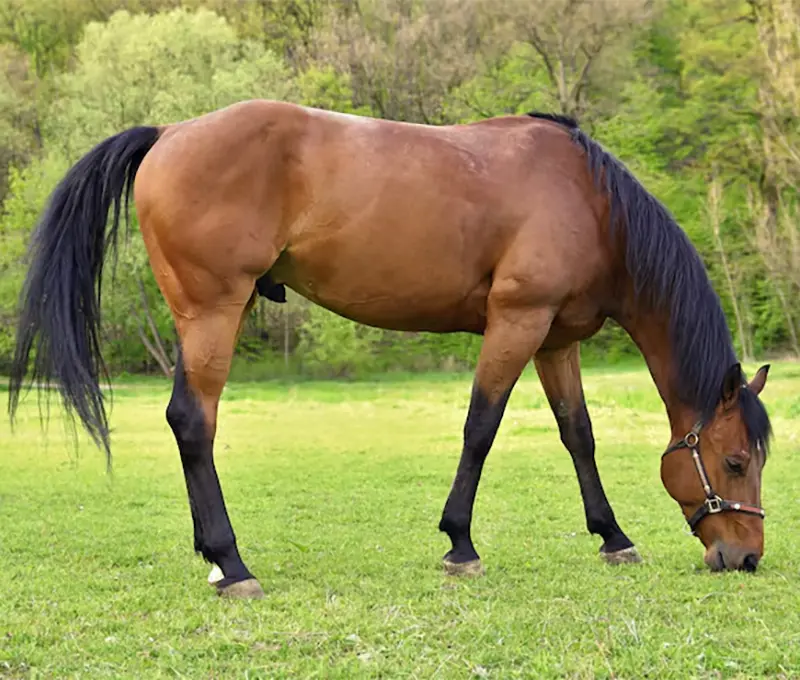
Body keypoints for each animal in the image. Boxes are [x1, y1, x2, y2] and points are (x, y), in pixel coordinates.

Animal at [8, 100, 772, 599]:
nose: (745, 556)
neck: (588, 200)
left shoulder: (555, 339)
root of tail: (170, 132)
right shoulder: (516, 322)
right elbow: (481, 428)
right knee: (194, 422)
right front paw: (460, 544)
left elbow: (576, 434)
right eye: (735, 461)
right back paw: (234, 564)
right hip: (215, 312)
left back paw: (215, 559)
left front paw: (612, 536)